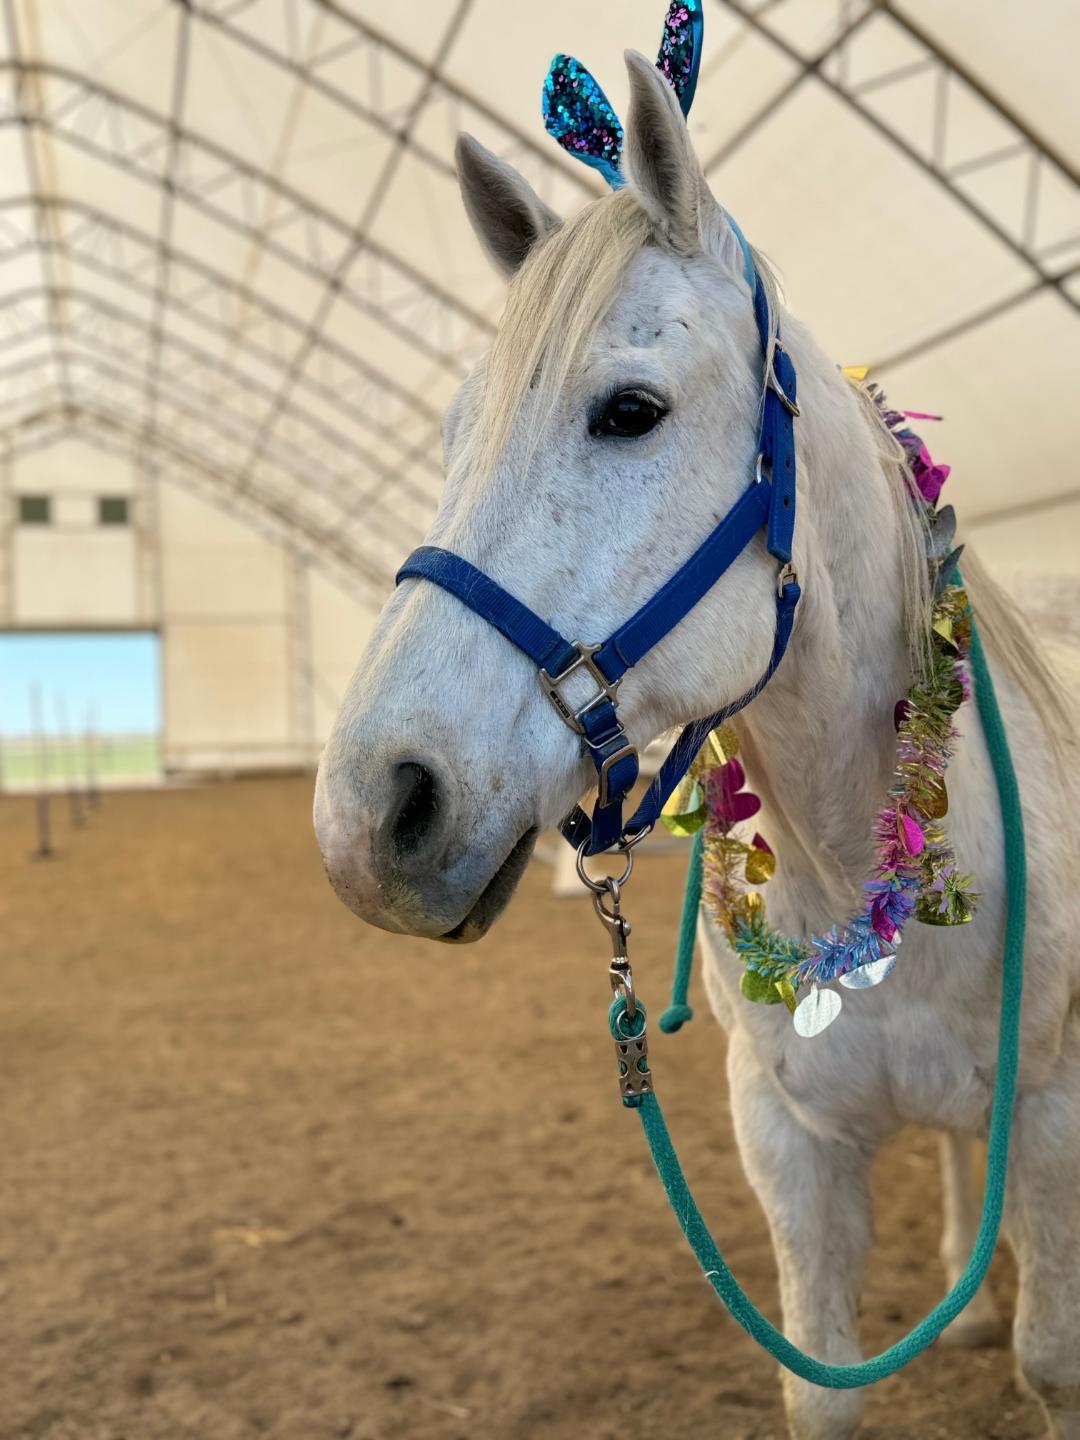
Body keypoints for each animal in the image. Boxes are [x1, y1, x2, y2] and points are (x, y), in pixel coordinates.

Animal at [314, 50, 1080, 1440]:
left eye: (631, 409)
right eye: (455, 435)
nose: (368, 817)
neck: (853, 862)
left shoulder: (1051, 1123)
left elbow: (1052, 1360)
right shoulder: (787, 1144)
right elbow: (820, 1386)